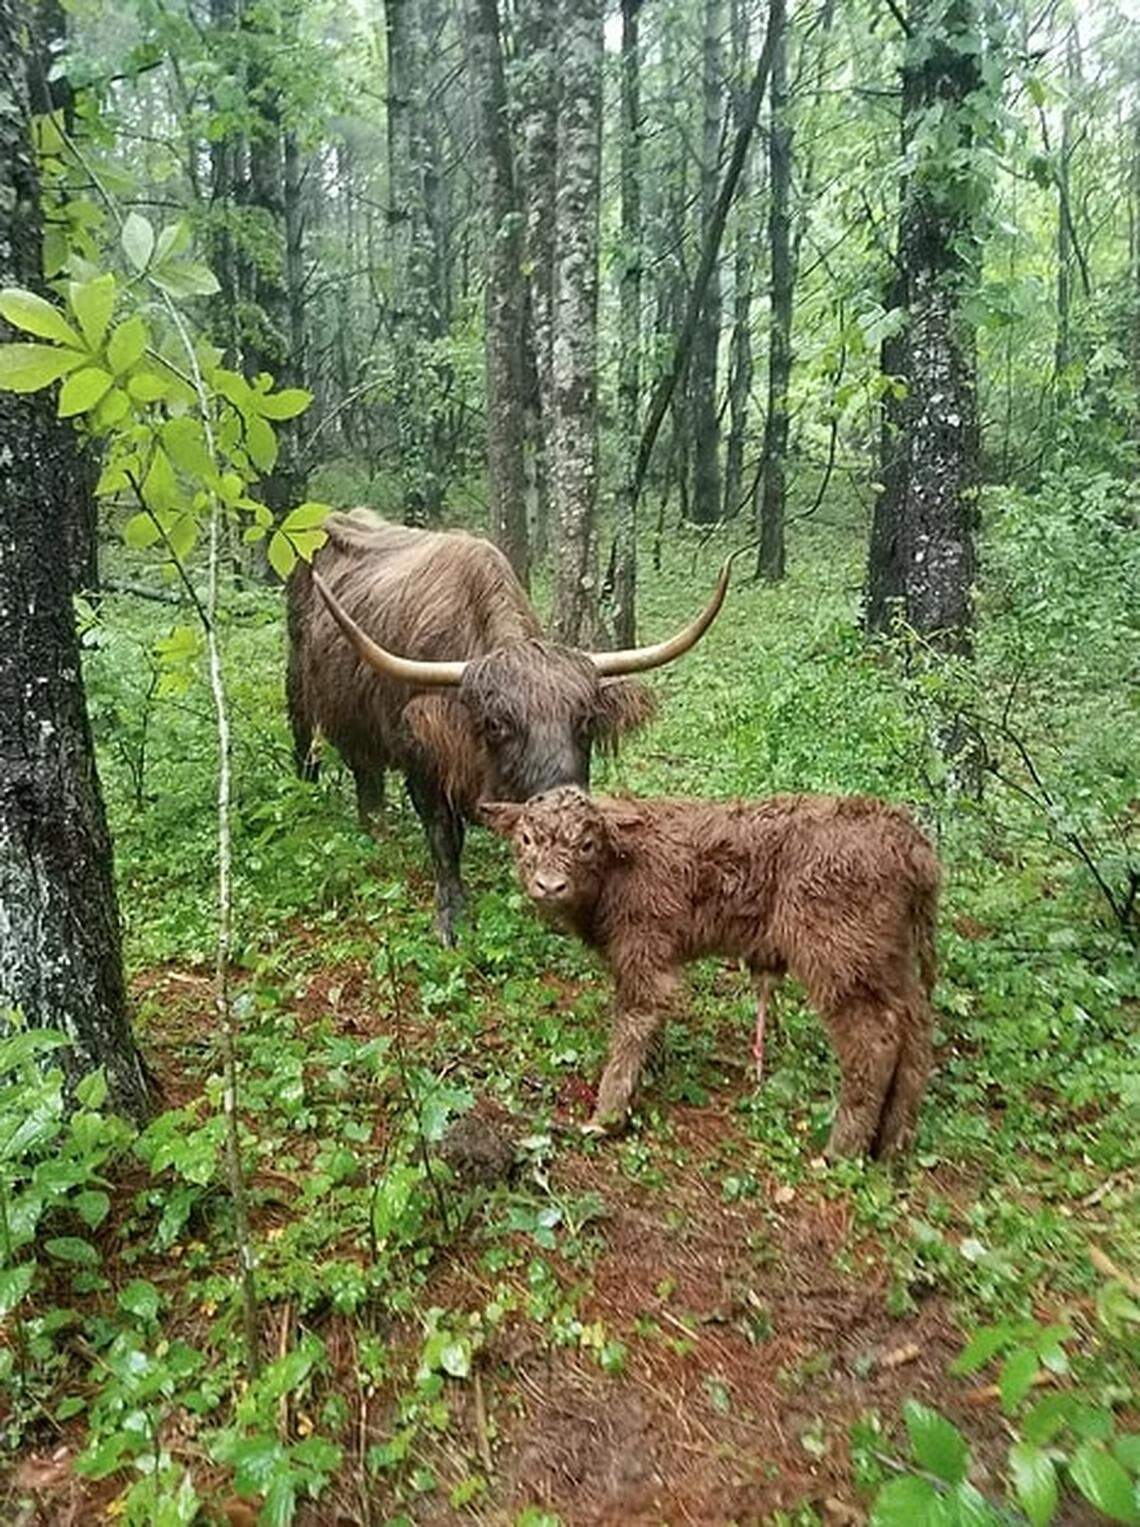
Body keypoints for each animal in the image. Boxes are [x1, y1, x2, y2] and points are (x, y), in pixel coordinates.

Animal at [287, 511, 739, 942]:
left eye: (585, 721)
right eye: (496, 724)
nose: (563, 804)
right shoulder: (424, 767)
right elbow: (444, 837)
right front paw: (452, 917)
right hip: (300, 691)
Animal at [480, 785, 940, 1158]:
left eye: (587, 844)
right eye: (526, 839)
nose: (550, 885)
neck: (619, 867)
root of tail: (910, 842)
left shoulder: (644, 951)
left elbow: (632, 1026)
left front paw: (607, 1116)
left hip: (840, 957)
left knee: (874, 1039)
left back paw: (841, 1151)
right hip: (886, 960)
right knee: (914, 1029)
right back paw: (893, 1142)